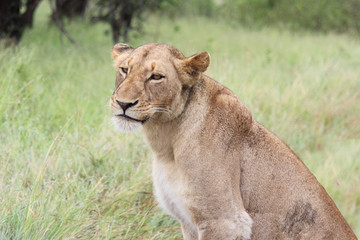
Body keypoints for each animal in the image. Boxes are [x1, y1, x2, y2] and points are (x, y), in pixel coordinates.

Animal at [109, 42, 358, 239]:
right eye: (124, 70)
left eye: (156, 77)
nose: (123, 103)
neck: (165, 139)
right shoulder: (188, 222)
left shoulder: (224, 221)